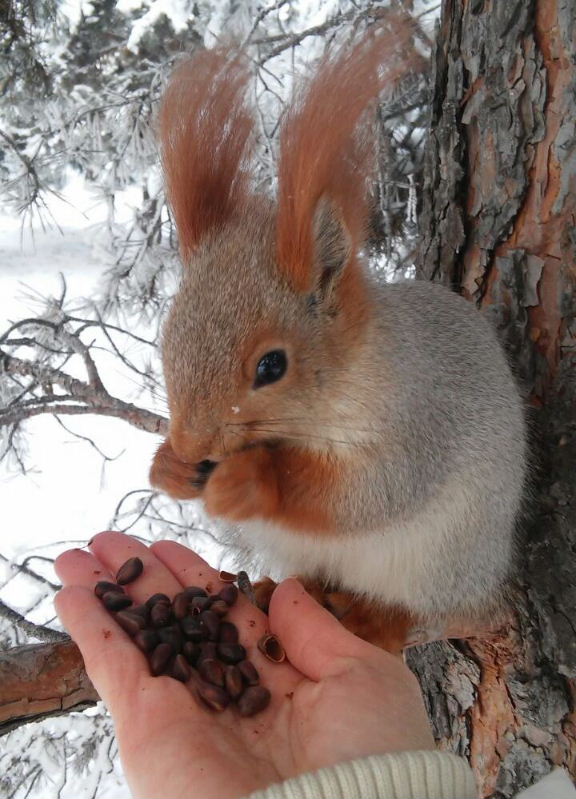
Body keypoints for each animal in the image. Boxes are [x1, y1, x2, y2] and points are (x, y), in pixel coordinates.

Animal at [149, 30, 527, 652]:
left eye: (272, 366)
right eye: (168, 336)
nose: (190, 442)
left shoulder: (419, 415)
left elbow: (368, 492)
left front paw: (253, 480)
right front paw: (168, 468)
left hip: (444, 559)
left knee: (420, 604)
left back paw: (377, 618)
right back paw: (277, 588)